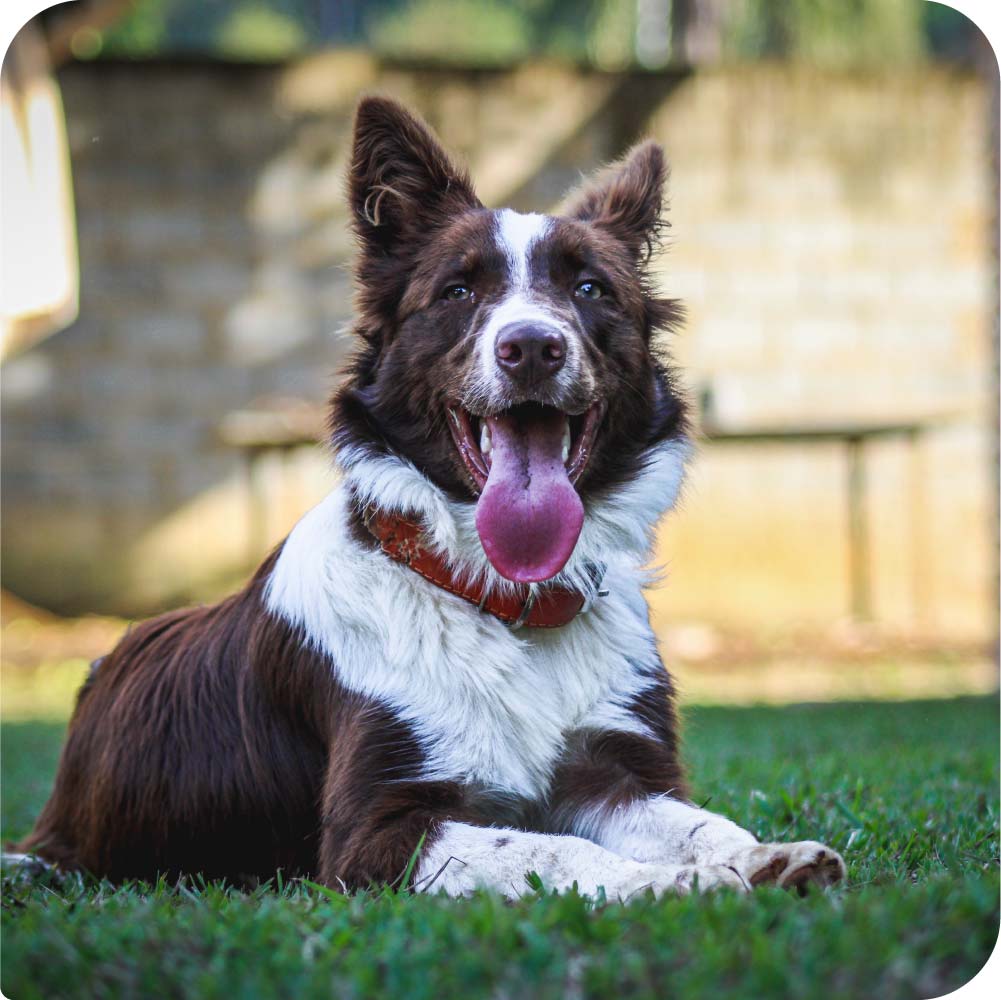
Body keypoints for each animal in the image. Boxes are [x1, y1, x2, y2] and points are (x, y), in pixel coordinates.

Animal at [15, 99, 844, 900]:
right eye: (457, 290)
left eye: (589, 289)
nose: (532, 348)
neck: (504, 602)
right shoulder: (375, 832)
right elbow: (553, 851)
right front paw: (671, 882)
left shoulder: (618, 773)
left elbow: (701, 823)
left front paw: (764, 857)